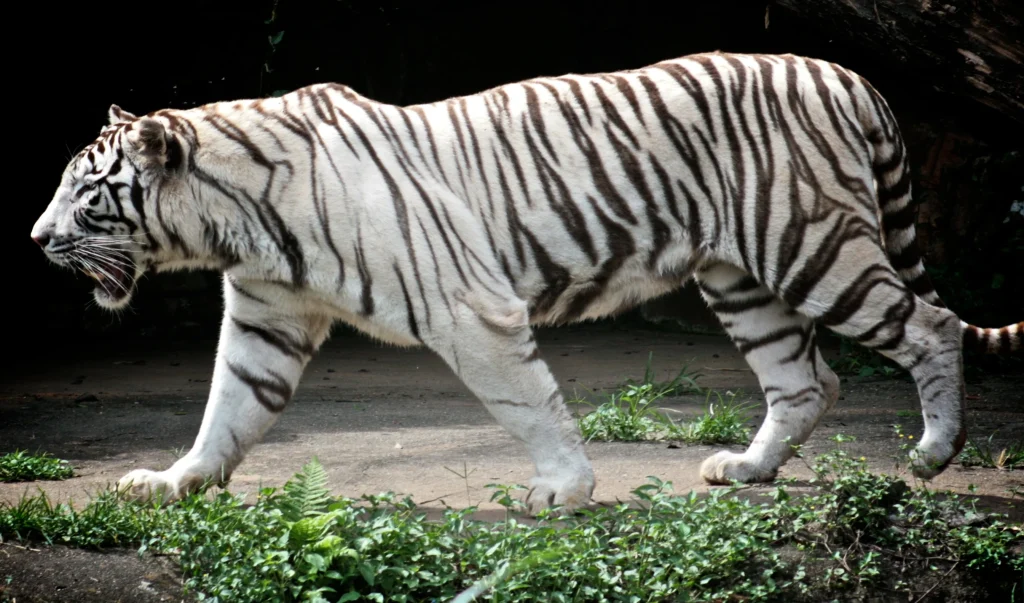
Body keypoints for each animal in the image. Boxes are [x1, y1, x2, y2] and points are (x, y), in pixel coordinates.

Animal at [29, 52, 1015, 511]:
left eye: (86, 192)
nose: (36, 238)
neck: (233, 219)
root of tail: (844, 71)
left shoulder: (472, 309)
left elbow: (527, 402)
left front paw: (563, 489)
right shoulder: (268, 317)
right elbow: (227, 409)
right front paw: (175, 480)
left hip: (814, 247)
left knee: (928, 325)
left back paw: (934, 451)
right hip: (742, 278)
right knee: (809, 380)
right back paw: (746, 467)